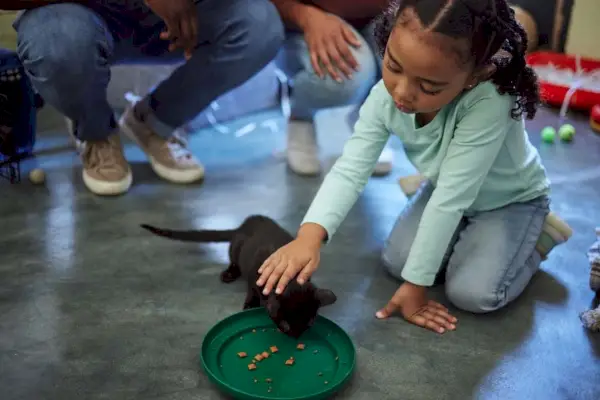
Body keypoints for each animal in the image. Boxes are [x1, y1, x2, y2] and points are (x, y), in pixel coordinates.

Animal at [142, 216, 338, 338]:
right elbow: (251, 290)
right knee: (233, 260)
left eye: (310, 322)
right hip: (237, 248)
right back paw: (228, 274)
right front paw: (250, 305)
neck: (290, 280)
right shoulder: (254, 277)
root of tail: (242, 226)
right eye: (285, 324)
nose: (295, 337)